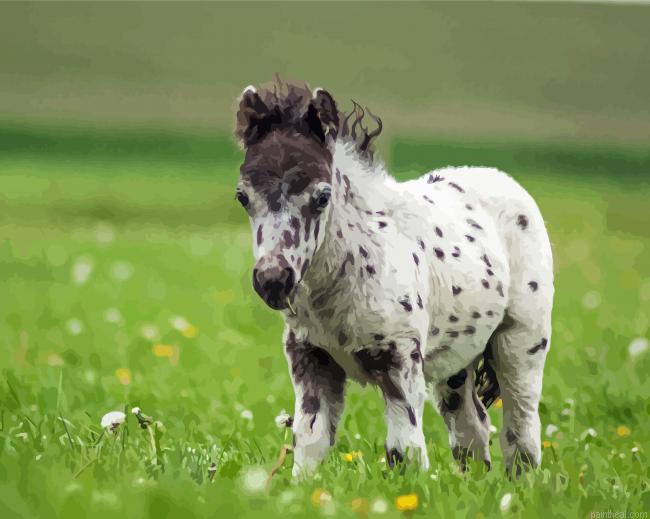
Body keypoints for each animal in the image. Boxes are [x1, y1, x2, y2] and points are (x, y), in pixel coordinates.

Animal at [233, 77, 554, 477]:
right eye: (243, 197)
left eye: (322, 196)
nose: (273, 279)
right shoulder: (311, 357)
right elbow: (310, 443)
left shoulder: (399, 359)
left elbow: (405, 451)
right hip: (457, 358)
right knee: (472, 426)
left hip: (521, 341)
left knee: (520, 430)